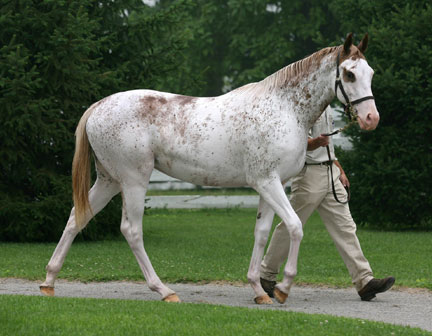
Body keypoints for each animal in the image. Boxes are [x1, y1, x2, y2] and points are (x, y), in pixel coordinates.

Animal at [39, 33, 378, 304]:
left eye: (370, 72)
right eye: (349, 74)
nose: (371, 118)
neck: (284, 108)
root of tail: (99, 106)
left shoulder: (268, 185)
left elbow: (261, 233)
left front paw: (259, 291)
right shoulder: (268, 182)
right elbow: (294, 226)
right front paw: (282, 289)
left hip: (109, 181)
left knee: (76, 217)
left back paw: (49, 282)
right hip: (134, 180)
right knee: (131, 230)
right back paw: (164, 291)